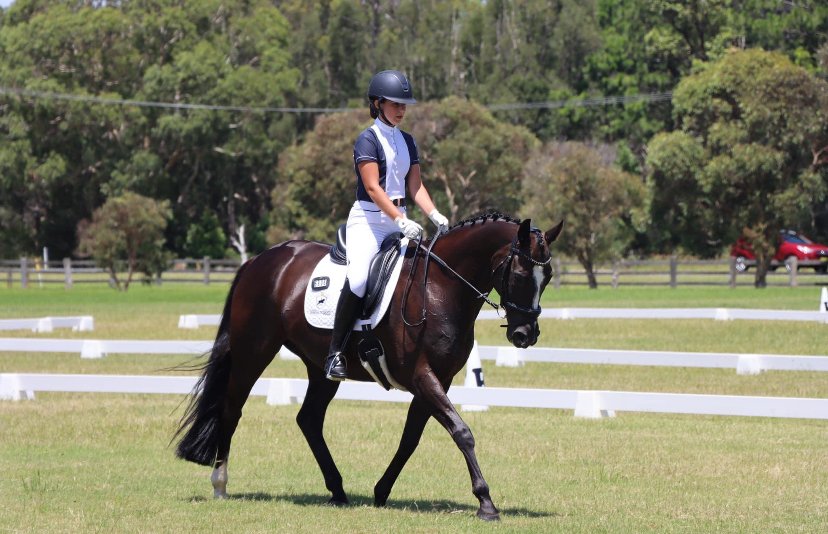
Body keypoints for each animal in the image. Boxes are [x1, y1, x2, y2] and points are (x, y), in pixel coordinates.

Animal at [173, 212, 563, 521]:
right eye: (520, 273)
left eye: (547, 277)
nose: (525, 334)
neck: (440, 287)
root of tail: (260, 260)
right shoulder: (422, 376)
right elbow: (462, 431)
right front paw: (486, 503)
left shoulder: (440, 379)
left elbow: (411, 439)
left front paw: (381, 491)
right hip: (254, 351)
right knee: (232, 408)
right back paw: (220, 484)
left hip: (321, 368)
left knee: (308, 419)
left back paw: (337, 490)